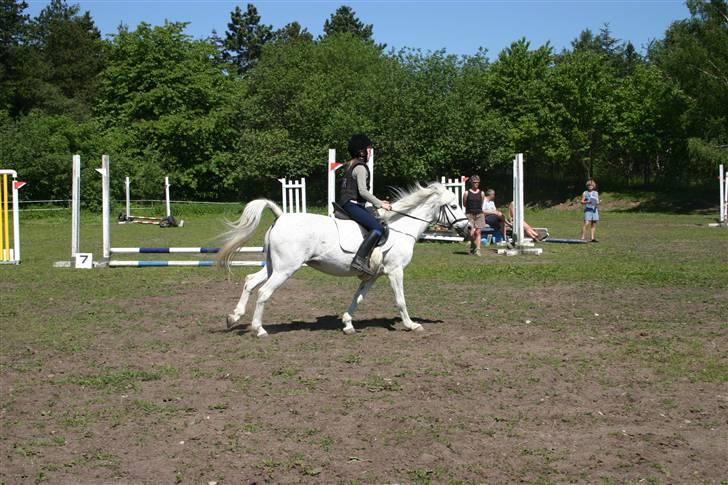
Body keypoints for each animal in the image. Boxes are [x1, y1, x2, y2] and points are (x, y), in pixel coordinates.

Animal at [216, 182, 470, 336]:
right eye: (454, 205)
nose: (468, 229)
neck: (401, 227)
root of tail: (281, 217)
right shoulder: (395, 271)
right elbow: (400, 300)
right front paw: (411, 324)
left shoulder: (372, 276)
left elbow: (358, 298)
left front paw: (348, 323)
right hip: (285, 269)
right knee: (263, 292)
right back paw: (259, 329)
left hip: (272, 266)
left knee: (250, 281)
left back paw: (233, 317)